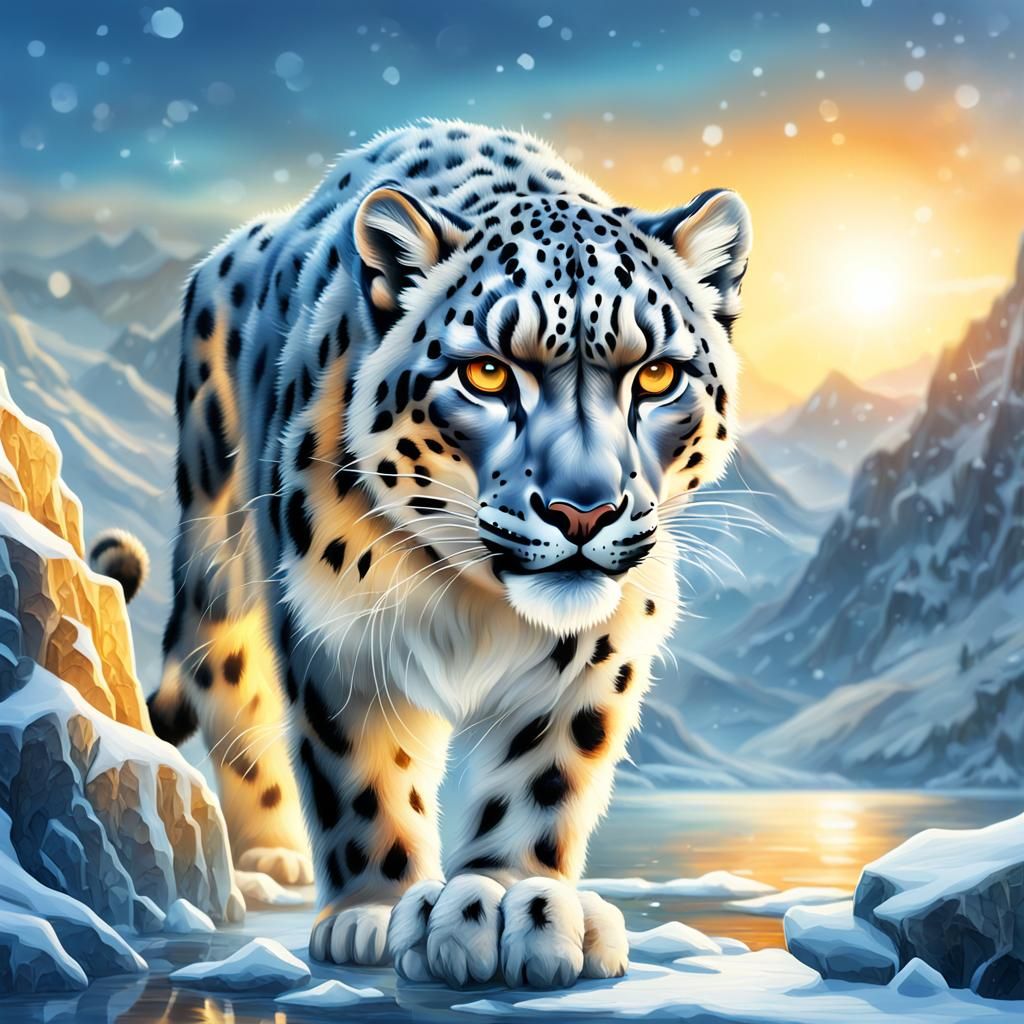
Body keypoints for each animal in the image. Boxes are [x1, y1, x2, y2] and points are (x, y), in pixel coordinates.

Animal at [93, 118, 751, 989]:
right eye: (488, 373)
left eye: (656, 375)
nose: (583, 511)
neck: (476, 600)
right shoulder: (335, 629)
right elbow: (359, 773)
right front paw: (375, 912)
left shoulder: (602, 640)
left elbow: (545, 771)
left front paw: (519, 906)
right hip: (217, 540)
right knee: (222, 668)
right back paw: (273, 855)